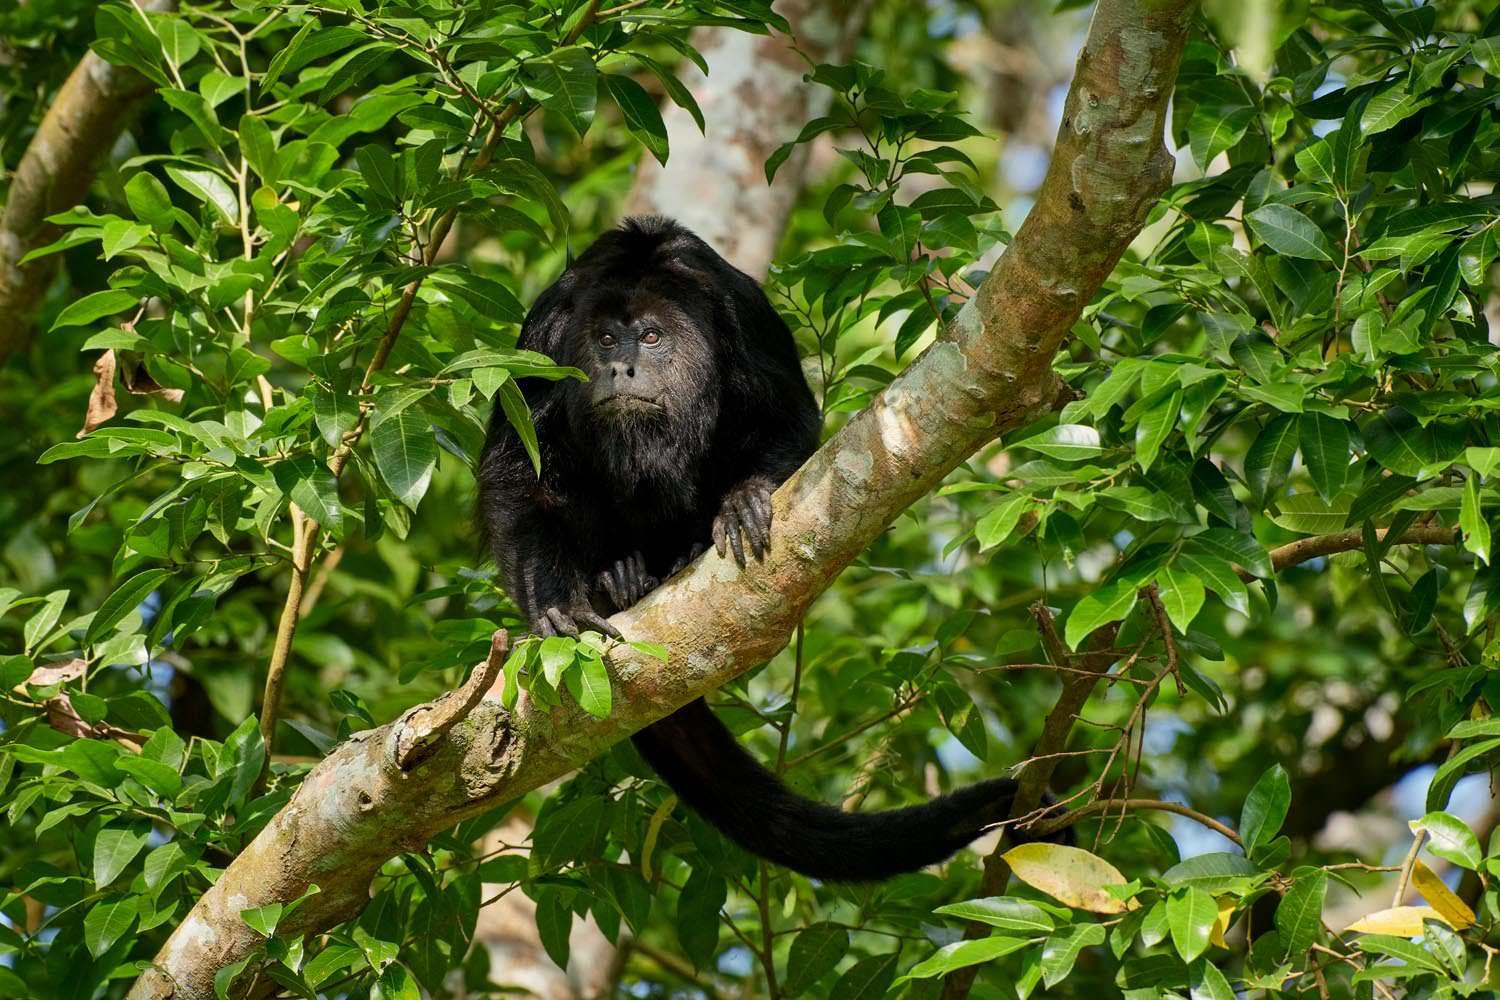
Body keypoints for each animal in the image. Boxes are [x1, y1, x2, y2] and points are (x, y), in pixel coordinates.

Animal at [480, 217, 1020, 875]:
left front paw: (742, 500)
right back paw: (619, 579)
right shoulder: (546, 330)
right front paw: (557, 601)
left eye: (652, 337)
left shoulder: (742, 315)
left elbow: (786, 418)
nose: (619, 370)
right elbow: (519, 472)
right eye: (605, 339)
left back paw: (674, 559)